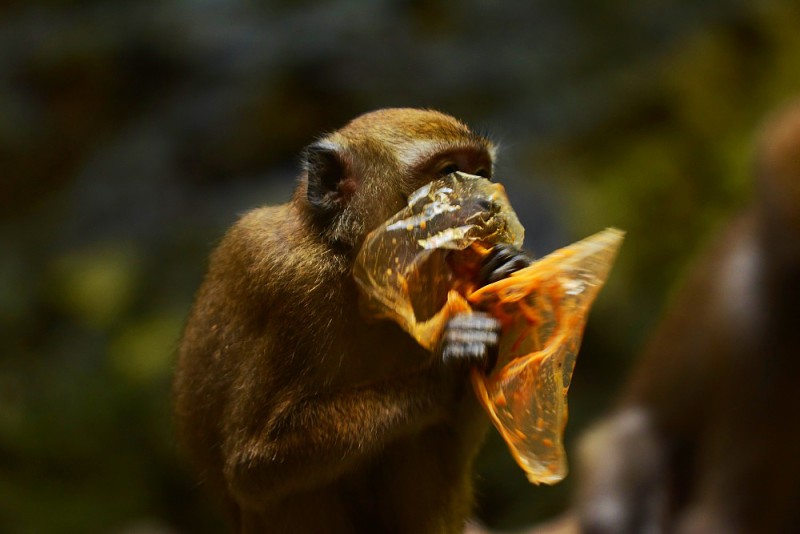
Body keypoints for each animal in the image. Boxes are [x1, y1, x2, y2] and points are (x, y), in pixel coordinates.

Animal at [173, 110, 536, 534]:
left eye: (480, 173)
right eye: (449, 175)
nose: (487, 205)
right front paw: (449, 365)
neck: (354, 271)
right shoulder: (284, 278)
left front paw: (506, 268)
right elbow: (252, 465)